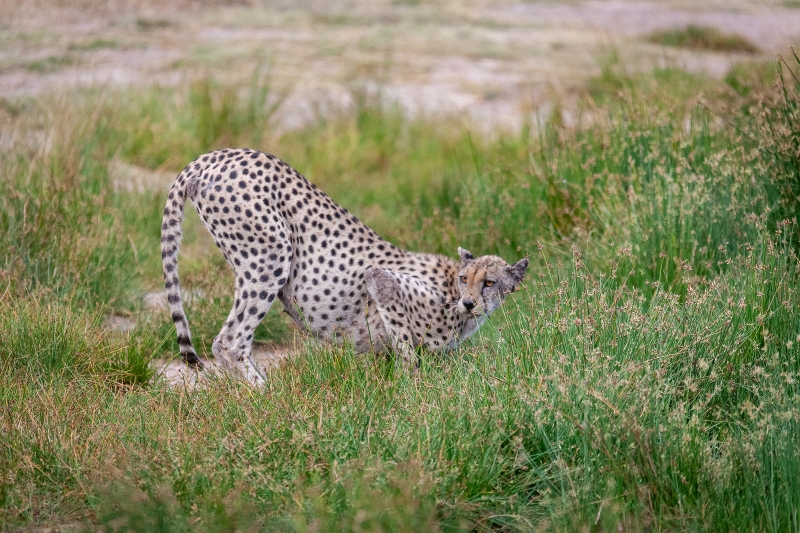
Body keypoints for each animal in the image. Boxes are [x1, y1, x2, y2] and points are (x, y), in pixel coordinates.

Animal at [161, 148, 528, 384]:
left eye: (490, 282)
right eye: (466, 279)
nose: (468, 302)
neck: (452, 292)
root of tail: (214, 154)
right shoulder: (382, 282)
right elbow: (408, 352)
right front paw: (415, 390)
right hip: (271, 255)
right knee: (230, 341)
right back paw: (266, 396)